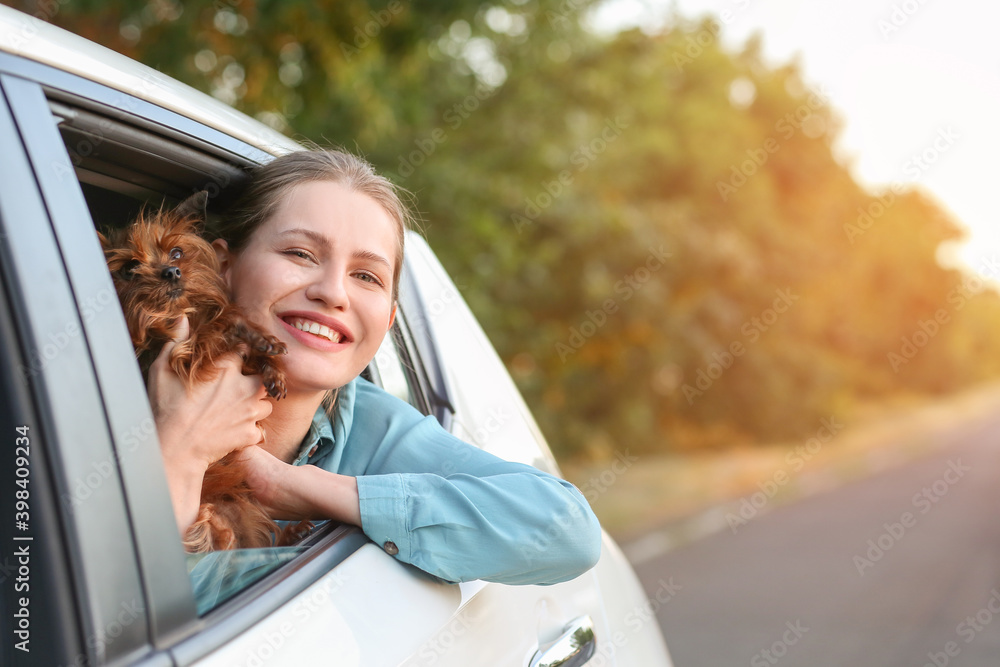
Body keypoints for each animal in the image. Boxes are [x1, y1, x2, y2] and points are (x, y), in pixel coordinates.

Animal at [100, 193, 308, 552]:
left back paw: (294, 534)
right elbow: (221, 326)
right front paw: (250, 333)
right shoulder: (186, 354)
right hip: (210, 515)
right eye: (129, 269)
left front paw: (270, 360)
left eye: (177, 252)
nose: (171, 272)